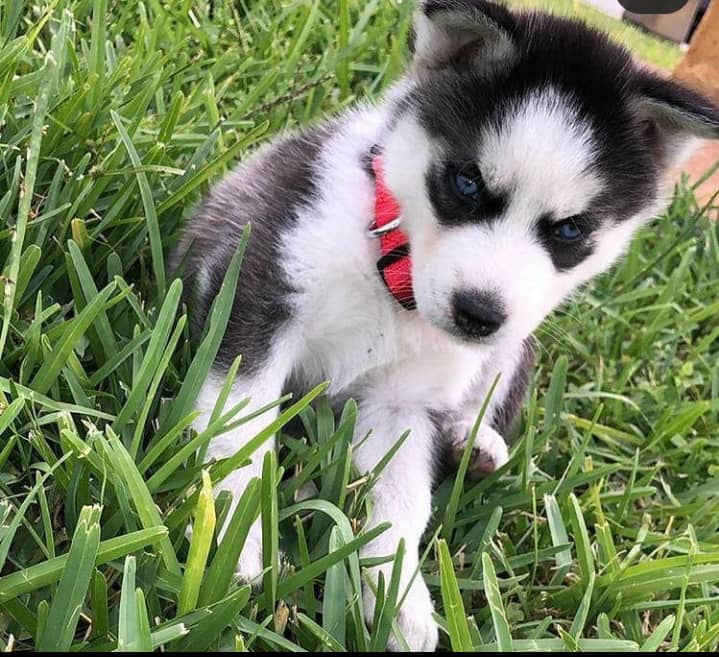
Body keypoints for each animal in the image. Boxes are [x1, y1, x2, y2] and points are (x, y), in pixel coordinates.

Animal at [176, 1, 719, 652]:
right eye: (466, 182)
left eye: (569, 230)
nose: (478, 313)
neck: (392, 275)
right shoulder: (258, 296)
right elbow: (239, 434)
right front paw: (232, 546)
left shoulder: (402, 405)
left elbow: (402, 505)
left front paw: (399, 601)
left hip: (517, 346)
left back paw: (473, 445)